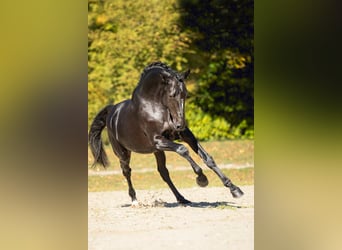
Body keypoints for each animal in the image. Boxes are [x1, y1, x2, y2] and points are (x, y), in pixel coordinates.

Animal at [88, 61, 243, 204]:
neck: (155, 107)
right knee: (127, 171)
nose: (180, 124)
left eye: (185, 94)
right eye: (172, 94)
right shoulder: (158, 140)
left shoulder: (184, 136)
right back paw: (134, 200)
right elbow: (182, 149)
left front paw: (234, 189)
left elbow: (207, 158)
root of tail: (112, 111)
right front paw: (202, 179)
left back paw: (182, 198)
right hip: (123, 153)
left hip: (157, 151)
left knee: (163, 172)